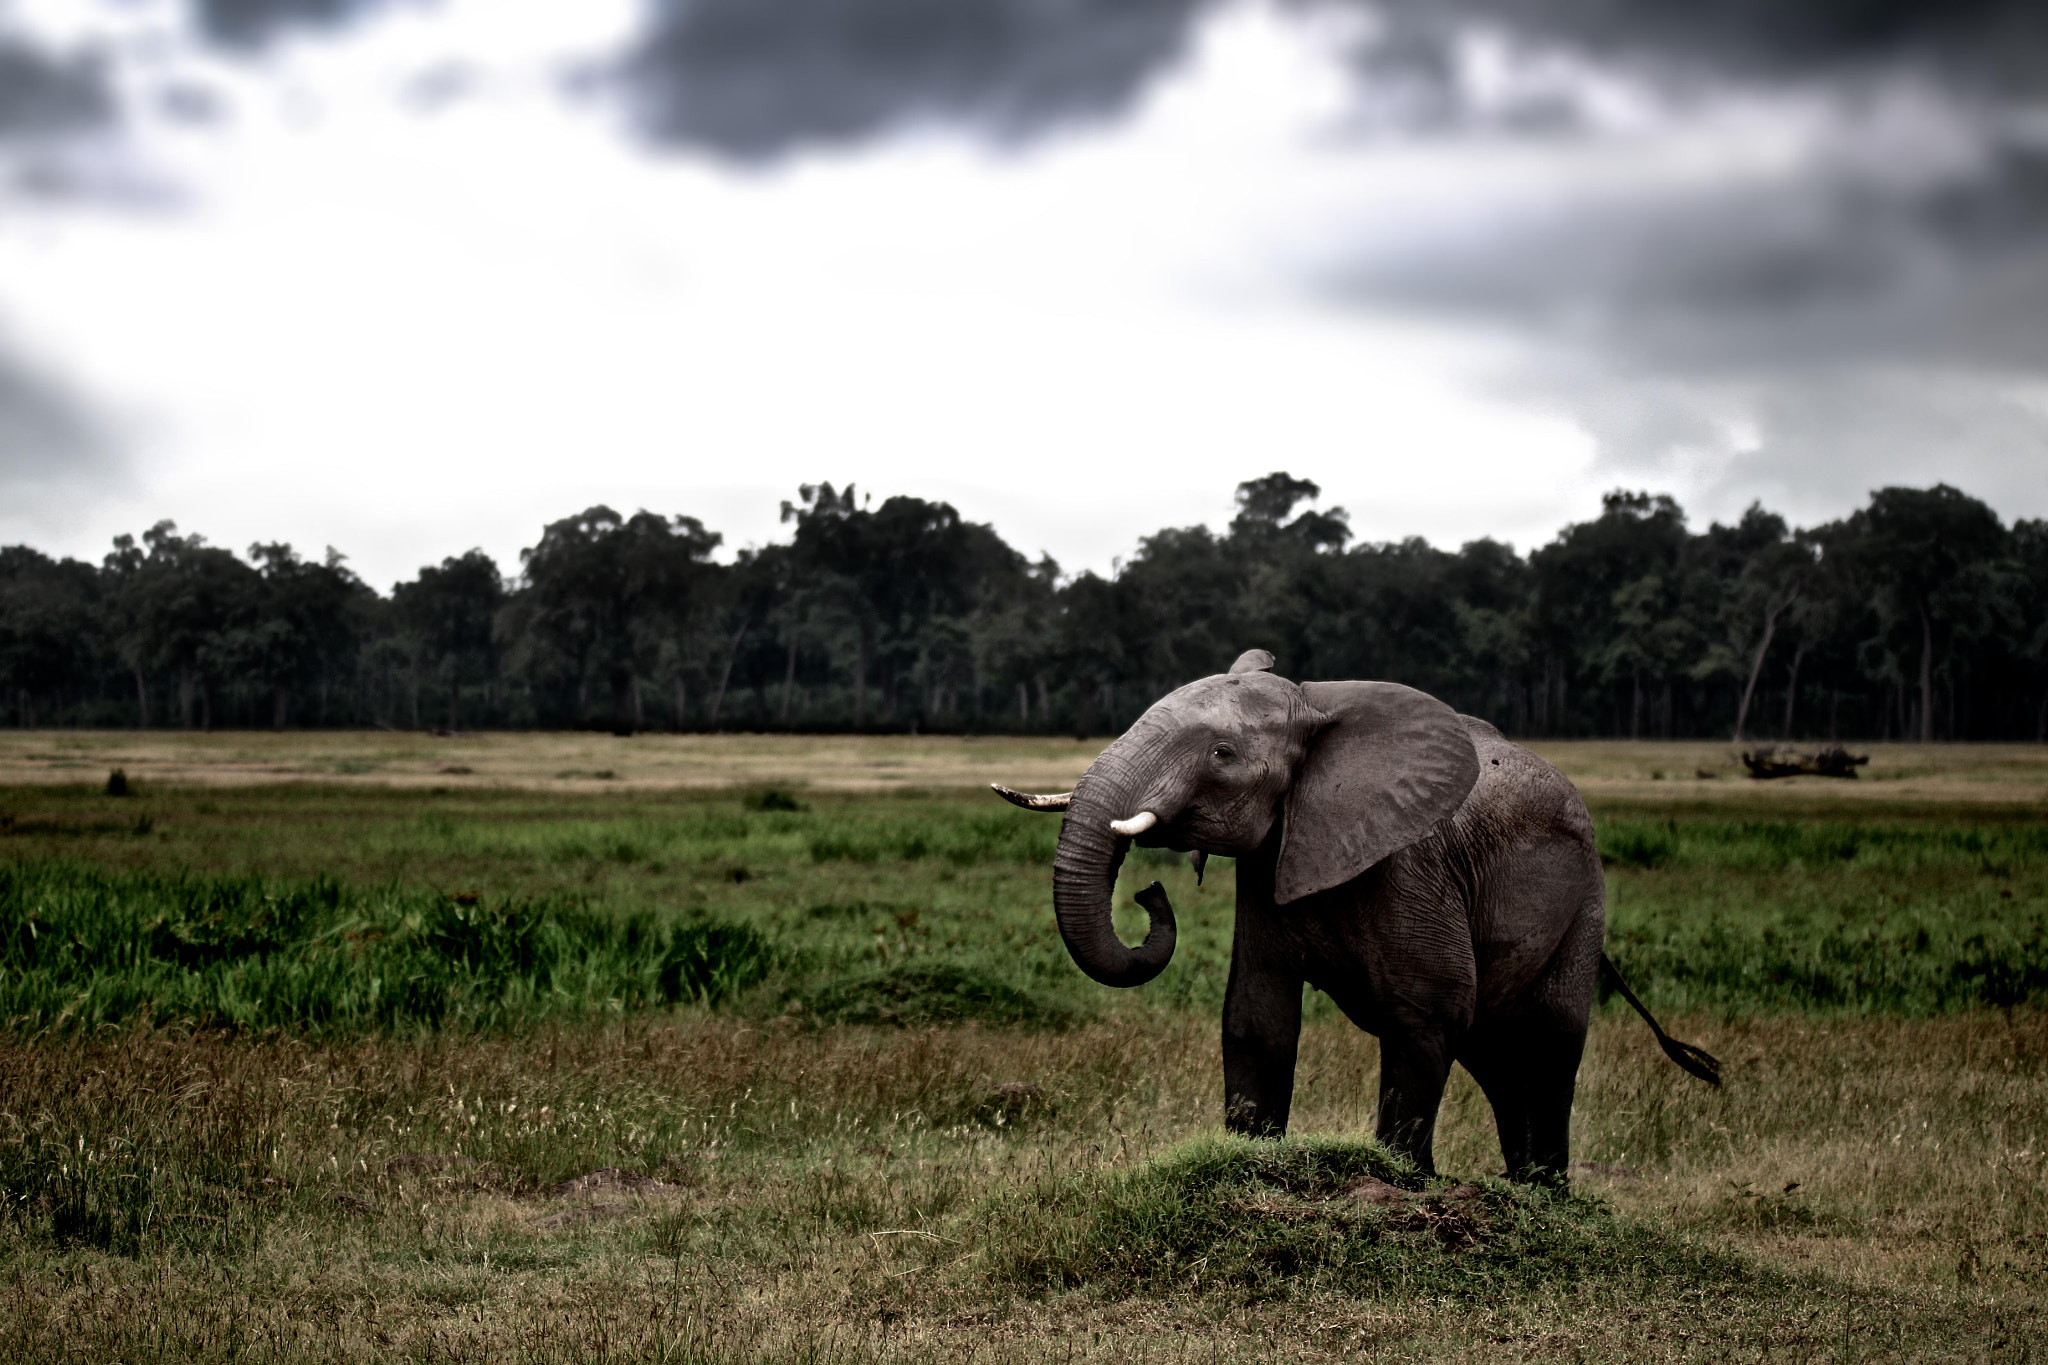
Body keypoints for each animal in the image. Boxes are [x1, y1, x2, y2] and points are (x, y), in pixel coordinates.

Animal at [993, 649, 1717, 1183]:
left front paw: (1402, 1180)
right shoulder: (1269, 863)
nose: (1148, 893)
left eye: (1221, 754)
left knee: (1547, 1048)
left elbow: (1428, 1010)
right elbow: (1256, 1016)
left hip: (1583, 906)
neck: (1314, 707)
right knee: (1498, 1057)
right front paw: (1250, 1163)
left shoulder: (1412, 866)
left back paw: (1544, 1196)